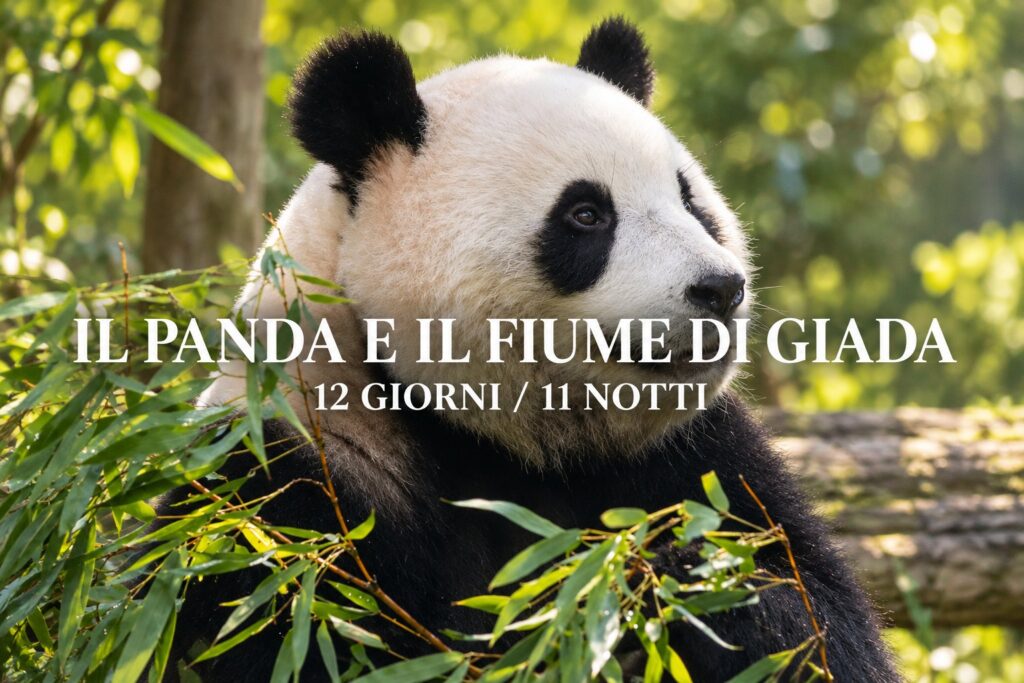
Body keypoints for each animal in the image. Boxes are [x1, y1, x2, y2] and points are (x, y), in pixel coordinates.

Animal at [159, 17, 899, 682]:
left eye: (692, 202)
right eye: (586, 214)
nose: (720, 289)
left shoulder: (699, 457)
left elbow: (815, 621)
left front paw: (667, 586)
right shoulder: (288, 488)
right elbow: (303, 632)